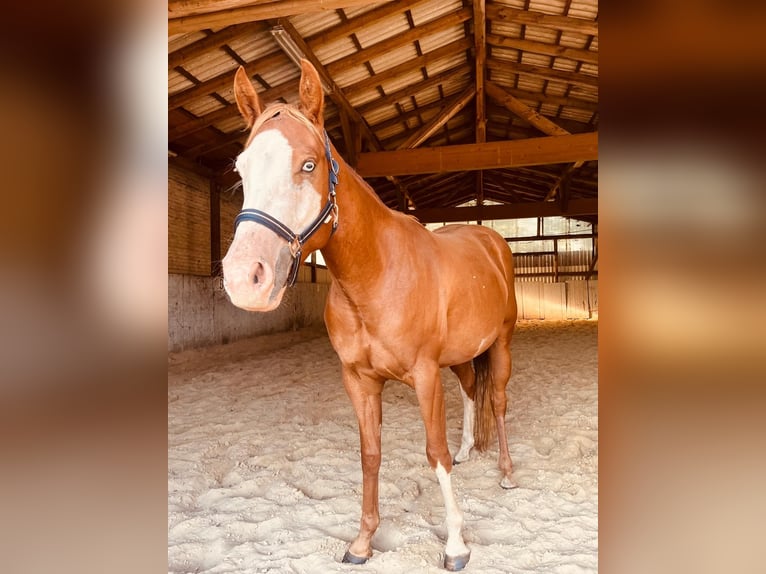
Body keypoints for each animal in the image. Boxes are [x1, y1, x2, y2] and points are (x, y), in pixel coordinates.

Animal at [222, 59, 518, 571]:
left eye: (309, 164)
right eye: (242, 168)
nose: (245, 278)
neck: (375, 275)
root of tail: (490, 239)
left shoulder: (424, 375)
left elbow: (433, 452)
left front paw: (456, 545)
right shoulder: (359, 380)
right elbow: (370, 454)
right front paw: (362, 542)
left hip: (500, 343)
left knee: (496, 402)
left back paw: (505, 472)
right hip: (462, 354)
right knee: (469, 392)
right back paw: (468, 451)